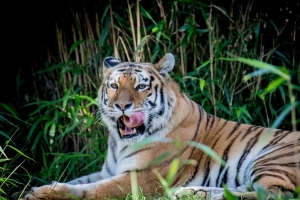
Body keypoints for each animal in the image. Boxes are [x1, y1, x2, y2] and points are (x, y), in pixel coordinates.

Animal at [24, 53, 300, 200]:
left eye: (140, 86)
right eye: (114, 86)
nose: (122, 106)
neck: (120, 142)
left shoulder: (143, 177)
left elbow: (94, 189)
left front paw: (42, 194)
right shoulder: (108, 170)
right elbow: (79, 180)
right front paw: (38, 188)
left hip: (273, 158)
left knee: (274, 194)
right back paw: (191, 193)